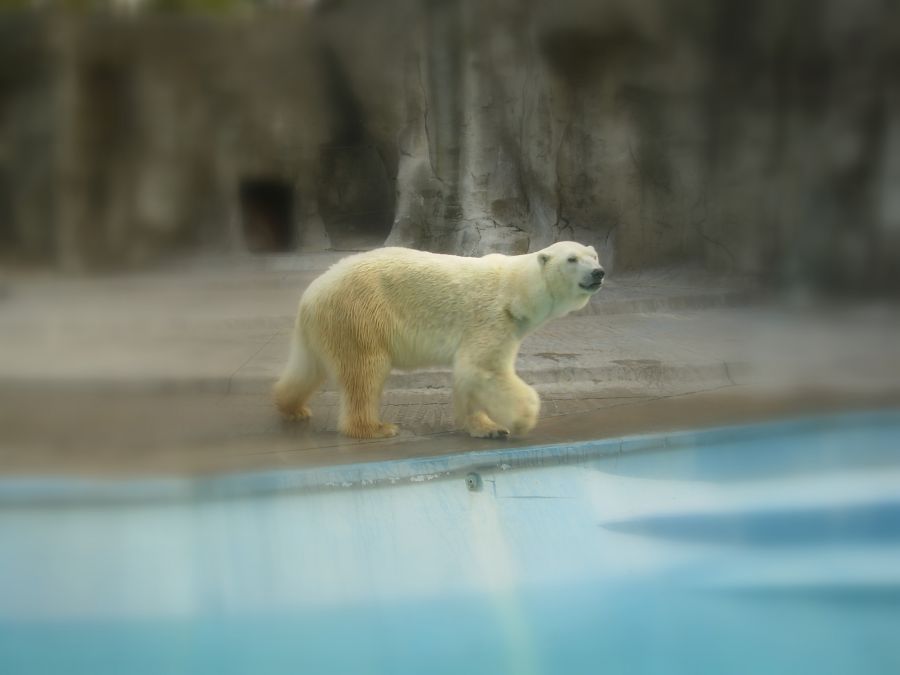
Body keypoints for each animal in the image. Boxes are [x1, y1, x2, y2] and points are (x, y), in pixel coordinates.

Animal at [272, 242, 604, 438]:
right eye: (572, 259)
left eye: (594, 256)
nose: (598, 273)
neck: (517, 289)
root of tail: (311, 293)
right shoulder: (492, 318)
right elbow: (482, 369)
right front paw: (522, 418)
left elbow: (470, 375)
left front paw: (486, 427)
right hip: (358, 314)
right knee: (365, 371)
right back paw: (375, 427)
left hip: (325, 327)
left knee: (307, 369)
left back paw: (293, 408)